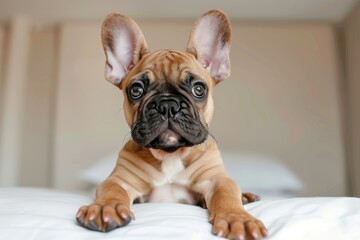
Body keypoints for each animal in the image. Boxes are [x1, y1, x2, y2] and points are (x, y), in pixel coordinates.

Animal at [76, 9, 268, 240]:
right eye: (136, 90)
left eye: (198, 89)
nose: (167, 105)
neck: (171, 154)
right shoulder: (120, 179)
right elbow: (113, 190)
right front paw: (106, 208)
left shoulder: (216, 179)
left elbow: (226, 195)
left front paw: (237, 218)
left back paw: (245, 197)